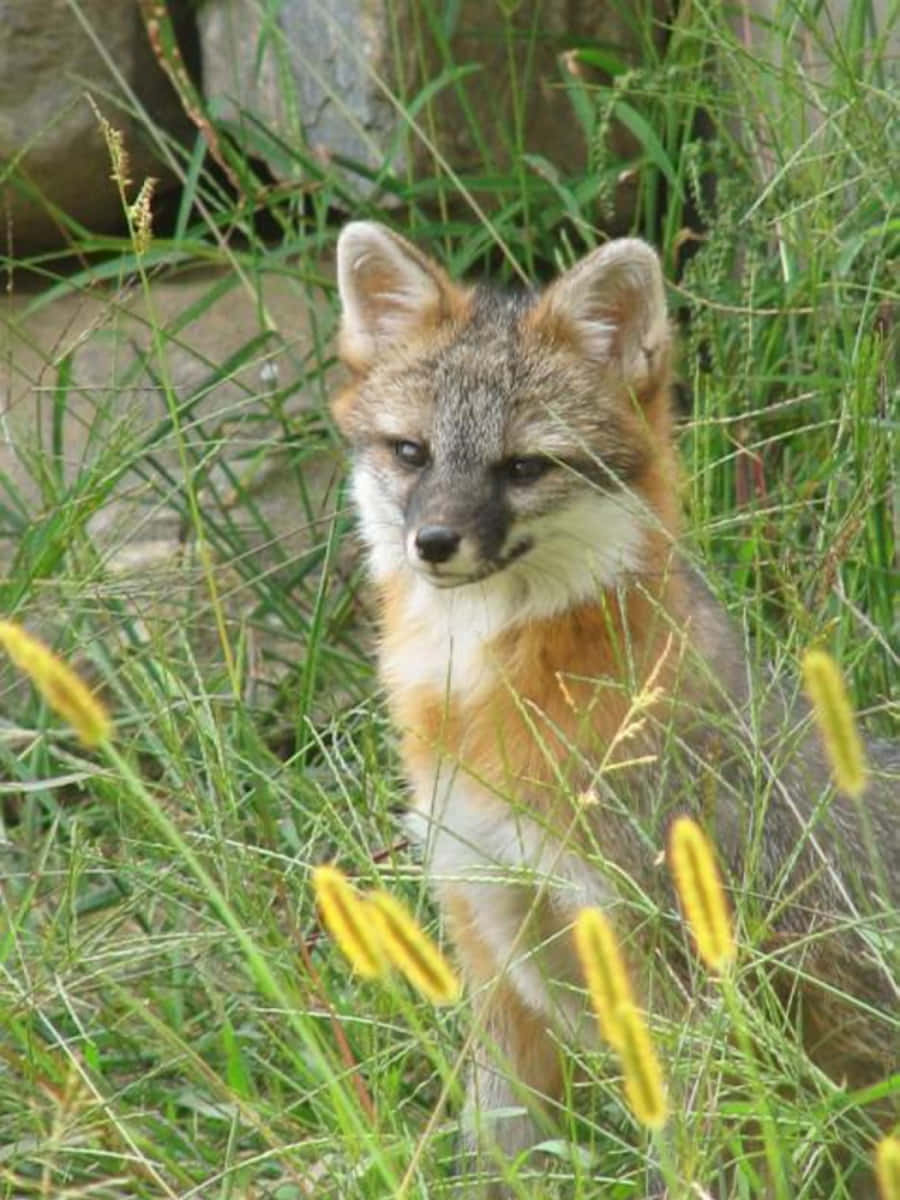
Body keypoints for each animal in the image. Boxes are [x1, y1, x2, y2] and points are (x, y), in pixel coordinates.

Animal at [331, 221, 899, 1195]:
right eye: (411, 453)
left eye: (524, 467)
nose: (433, 542)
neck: (481, 710)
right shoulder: (487, 933)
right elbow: (501, 1144)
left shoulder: (664, 964)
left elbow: (693, 1152)